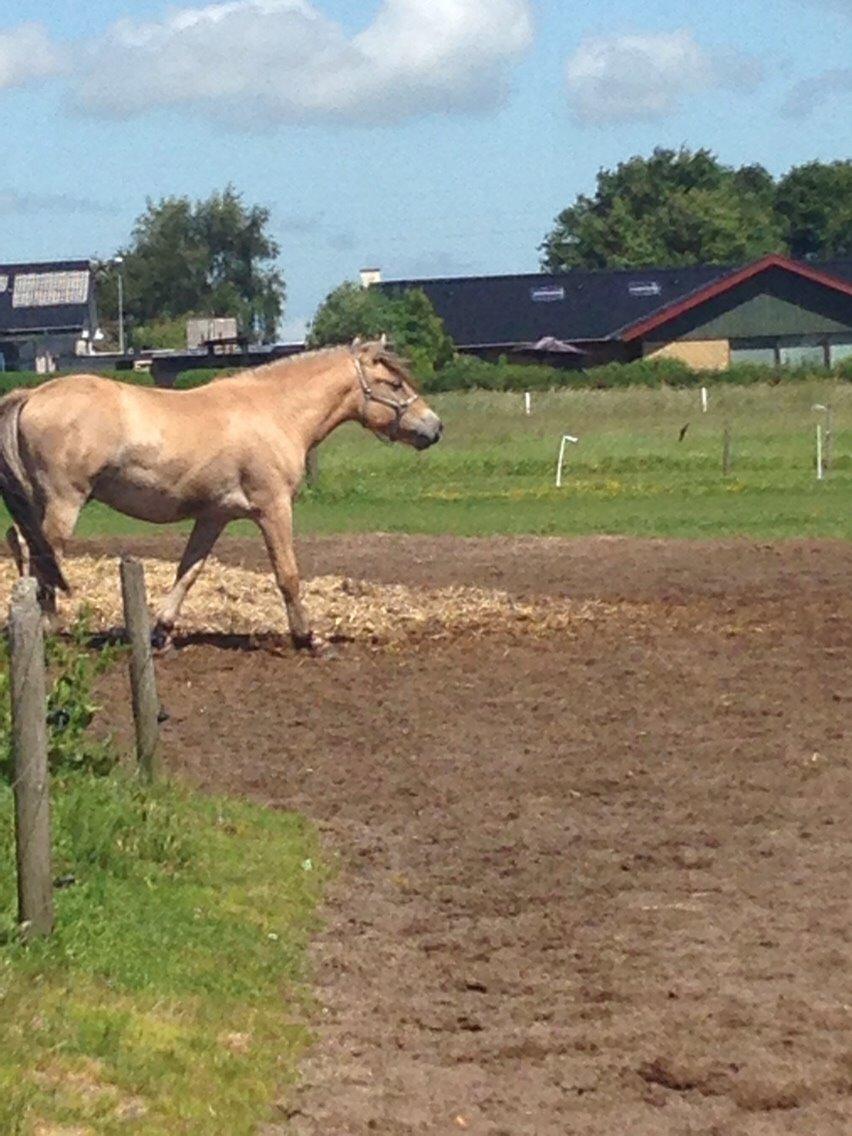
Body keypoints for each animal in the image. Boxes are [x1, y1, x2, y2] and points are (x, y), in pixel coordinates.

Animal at [1, 333, 447, 658]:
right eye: (393, 383)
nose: (435, 426)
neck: (274, 412)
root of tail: (31, 395)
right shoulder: (273, 509)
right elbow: (288, 575)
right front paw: (308, 638)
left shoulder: (214, 516)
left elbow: (188, 572)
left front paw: (162, 633)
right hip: (63, 502)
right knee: (41, 554)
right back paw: (48, 625)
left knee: (25, 546)